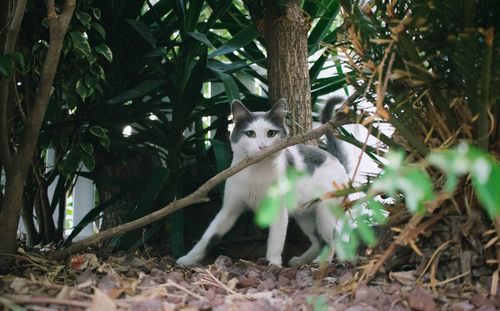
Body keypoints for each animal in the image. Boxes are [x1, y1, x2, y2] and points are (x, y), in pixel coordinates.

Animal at [178, 98, 350, 266]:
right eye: (250, 134)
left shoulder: (278, 209)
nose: (262, 146)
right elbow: (209, 236)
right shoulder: (229, 209)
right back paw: (301, 260)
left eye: (271, 133)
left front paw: (273, 262)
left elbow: (275, 239)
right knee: (317, 241)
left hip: (324, 212)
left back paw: (323, 261)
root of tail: (336, 160)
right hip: (304, 215)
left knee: (332, 238)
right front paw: (187, 259)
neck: (256, 173)